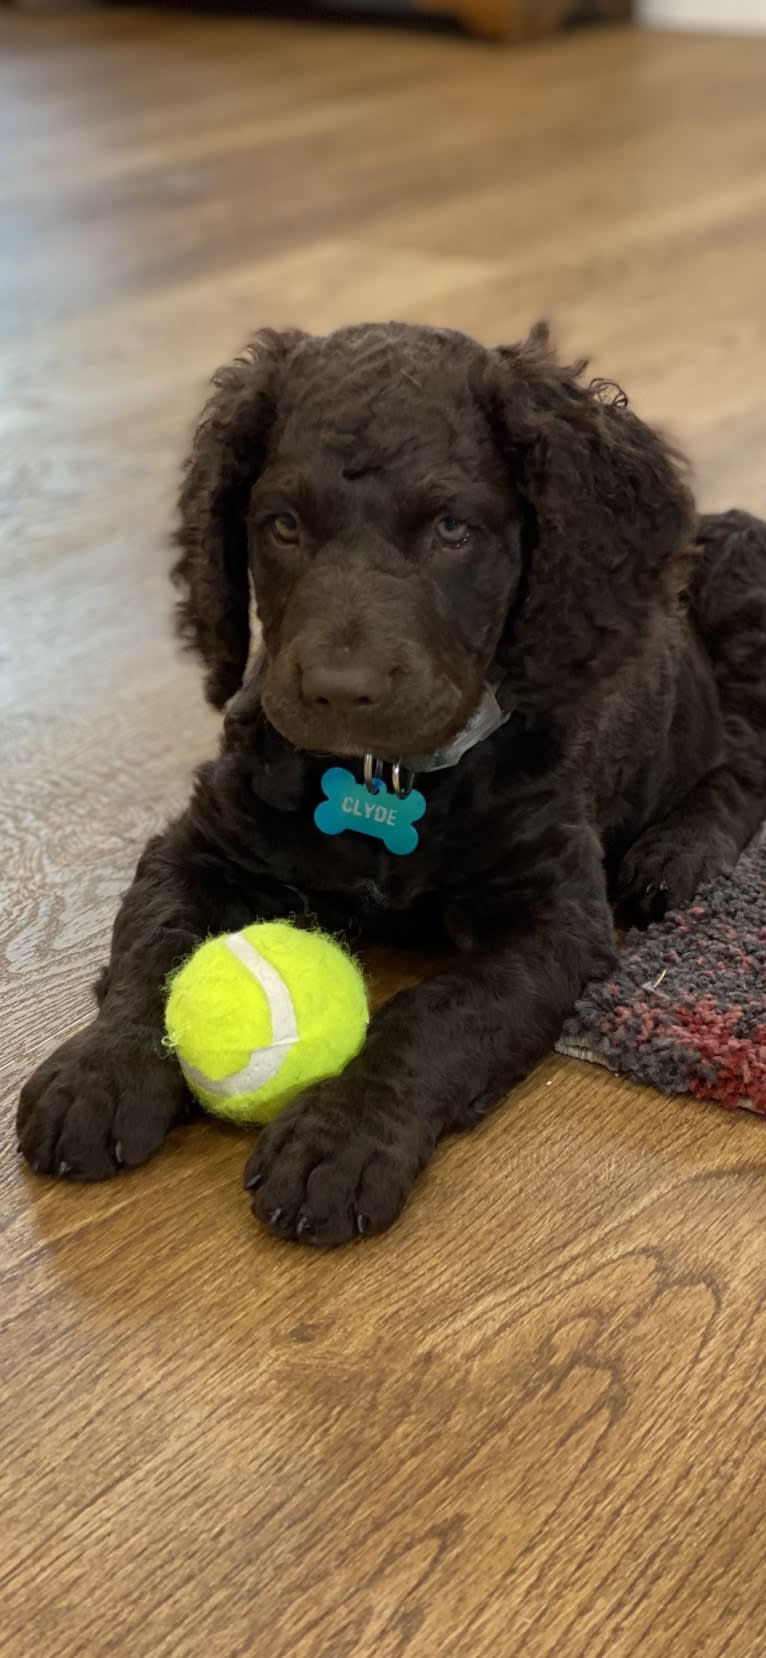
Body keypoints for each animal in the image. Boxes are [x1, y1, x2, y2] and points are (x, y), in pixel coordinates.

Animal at [16, 323, 766, 1246]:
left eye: (452, 529)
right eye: (283, 525)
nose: (341, 691)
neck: (388, 778)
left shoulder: (553, 922)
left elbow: (440, 1012)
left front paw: (343, 1137)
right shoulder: (196, 847)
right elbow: (158, 947)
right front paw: (100, 1070)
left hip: (743, 585)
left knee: (747, 757)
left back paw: (680, 851)